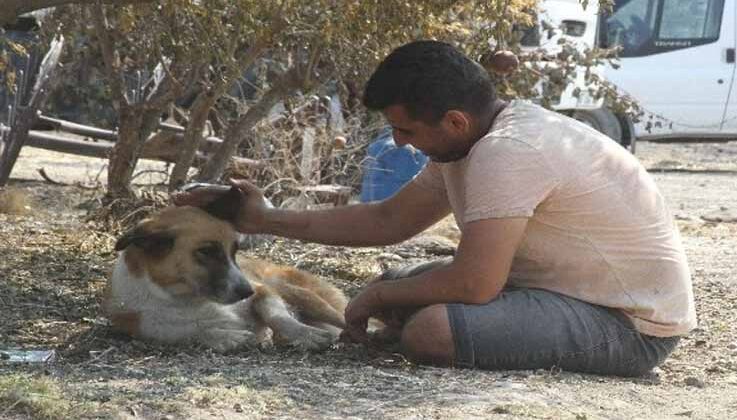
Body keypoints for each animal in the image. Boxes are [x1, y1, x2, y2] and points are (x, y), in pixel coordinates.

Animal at [101, 200, 350, 352]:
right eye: (206, 251)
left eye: (234, 252)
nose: (247, 291)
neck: (185, 299)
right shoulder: (145, 326)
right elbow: (190, 331)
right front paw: (226, 337)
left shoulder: (264, 292)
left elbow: (278, 317)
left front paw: (305, 334)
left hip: (306, 299)